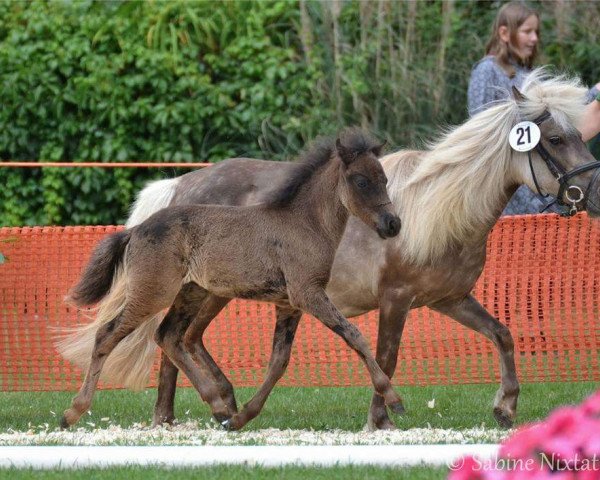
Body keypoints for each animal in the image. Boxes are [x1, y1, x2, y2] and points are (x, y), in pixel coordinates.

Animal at [58, 68, 600, 432]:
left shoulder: (449, 300)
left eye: (578, 134)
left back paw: (210, 407)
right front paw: (381, 419)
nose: (591, 194)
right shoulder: (396, 301)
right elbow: (385, 356)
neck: (436, 215)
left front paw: (506, 407)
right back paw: (185, 412)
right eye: (555, 138)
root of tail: (181, 184)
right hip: (203, 291)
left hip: (206, 291)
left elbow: (503, 335)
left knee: (179, 339)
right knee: (172, 341)